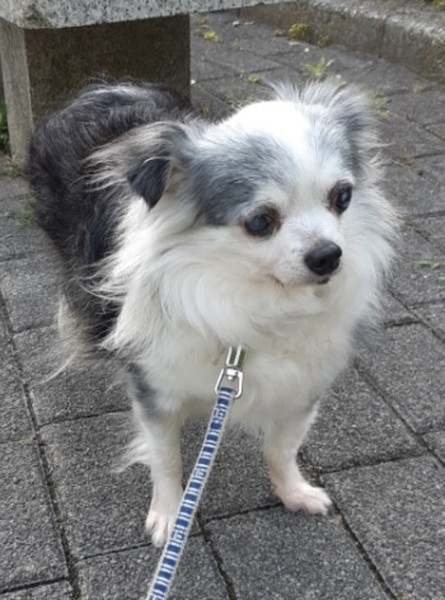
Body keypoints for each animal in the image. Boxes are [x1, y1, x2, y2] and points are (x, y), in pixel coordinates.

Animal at [28, 79, 397, 547]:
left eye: (342, 197)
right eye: (260, 222)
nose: (328, 255)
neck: (255, 302)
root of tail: (102, 89)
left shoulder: (302, 388)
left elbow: (282, 449)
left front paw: (293, 492)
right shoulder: (156, 390)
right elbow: (165, 460)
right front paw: (170, 515)